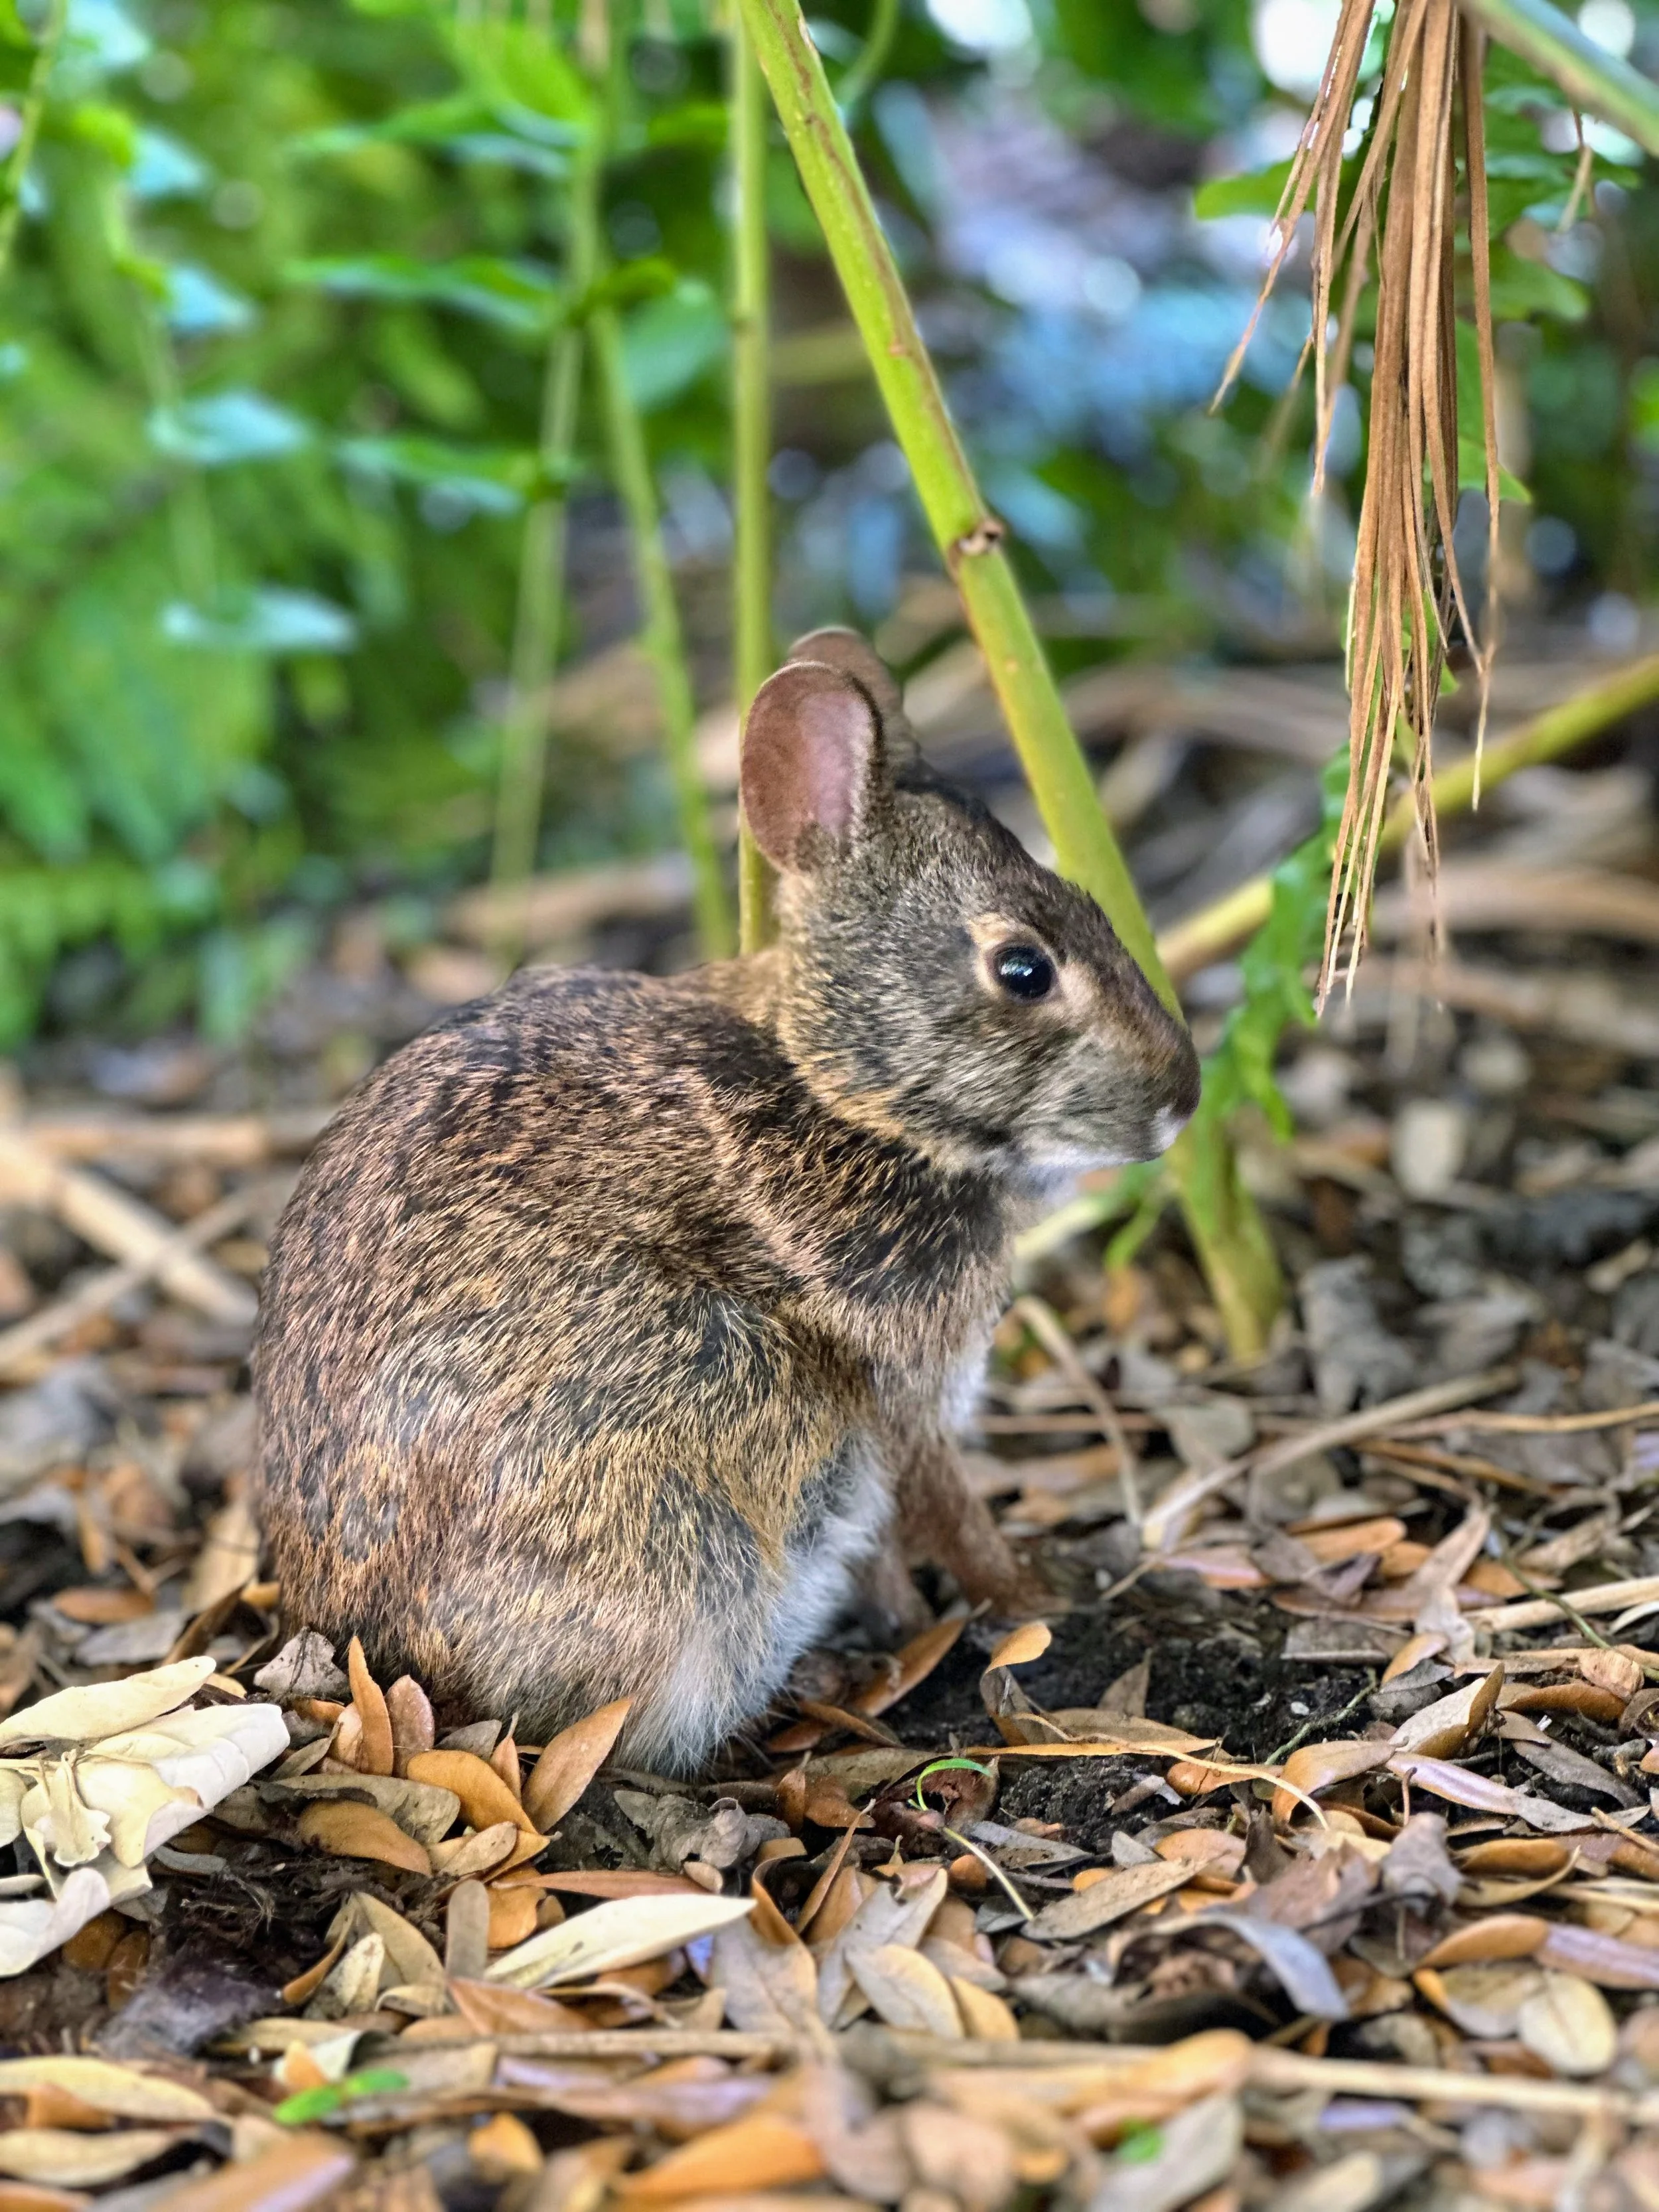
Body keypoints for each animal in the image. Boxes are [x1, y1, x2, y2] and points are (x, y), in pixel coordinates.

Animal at [252, 631, 1200, 1772]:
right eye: (1023, 969)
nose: (1183, 1096)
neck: (839, 1086)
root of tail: (373, 1660)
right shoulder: (900, 1394)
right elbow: (948, 1506)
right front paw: (1030, 1591)